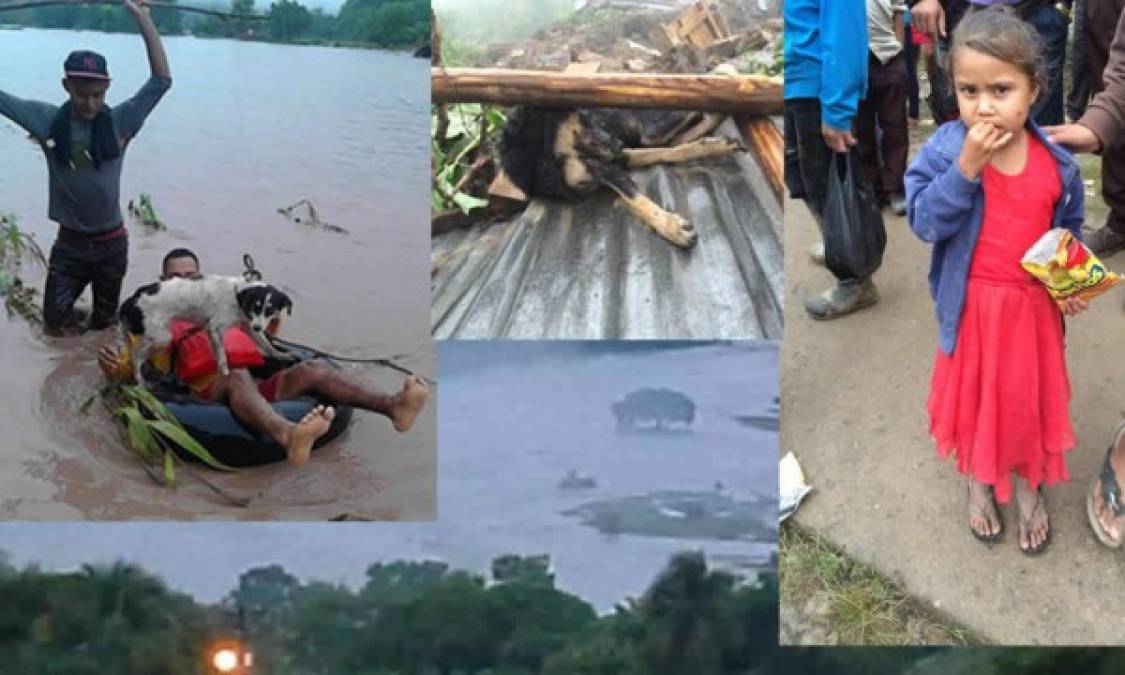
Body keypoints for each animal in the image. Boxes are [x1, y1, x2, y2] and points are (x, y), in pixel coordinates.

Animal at [119, 273, 294, 380]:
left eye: (270, 310)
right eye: (255, 306)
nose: (259, 327)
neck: (237, 295)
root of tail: (131, 300)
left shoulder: (249, 325)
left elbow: (267, 346)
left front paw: (281, 355)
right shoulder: (215, 328)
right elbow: (222, 358)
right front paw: (225, 374)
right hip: (161, 337)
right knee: (136, 358)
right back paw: (140, 382)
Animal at [495, 106, 742, 248]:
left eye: (588, 117)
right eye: (582, 120)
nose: (618, 143)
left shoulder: (611, 163)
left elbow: (635, 197)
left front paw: (669, 226)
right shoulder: (609, 164)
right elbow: (666, 154)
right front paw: (671, 225)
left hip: (648, 132)